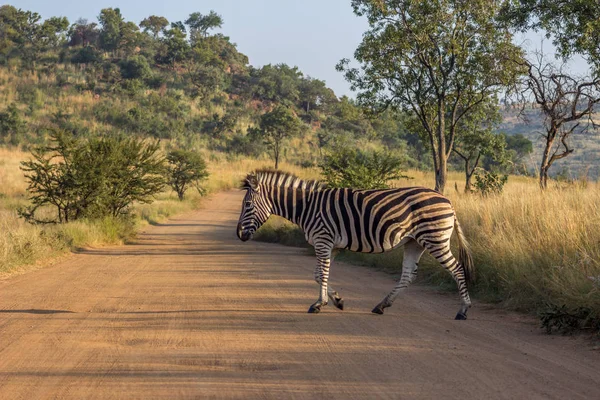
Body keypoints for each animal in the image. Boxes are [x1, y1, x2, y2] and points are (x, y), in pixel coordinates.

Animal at [234, 170, 474, 320]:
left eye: (248, 205)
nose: (239, 234)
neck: (307, 206)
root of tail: (448, 202)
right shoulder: (332, 245)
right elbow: (318, 274)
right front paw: (337, 300)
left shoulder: (323, 240)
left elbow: (321, 273)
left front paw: (319, 304)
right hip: (414, 242)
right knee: (408, 275)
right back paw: (381, 305)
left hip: (435, 239)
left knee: (457, 269)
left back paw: (463, 310)